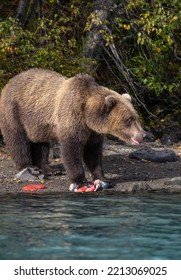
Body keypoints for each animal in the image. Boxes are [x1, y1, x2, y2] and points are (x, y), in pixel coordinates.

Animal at [0, 68, 144, 185]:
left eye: (135, 117)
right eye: (129, 119)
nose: (142, 134)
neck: (88, 113)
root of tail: (9, 82)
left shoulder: (92, 131)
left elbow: (93, 152)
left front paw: (102, 178)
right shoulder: (72, 115)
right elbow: (71, 149)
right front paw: (80, 180)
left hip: (37, 121)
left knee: (40, 143)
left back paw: (49, 169)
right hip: (14, 110)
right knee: (17, 139)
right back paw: (28, 168)